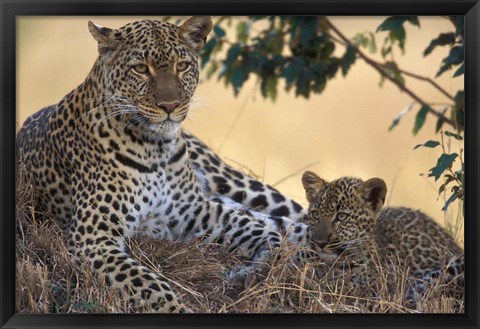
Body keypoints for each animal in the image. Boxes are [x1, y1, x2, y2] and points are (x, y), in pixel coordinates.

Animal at [15, 16, 312, 312]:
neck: (156, 149)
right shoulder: (93, 238)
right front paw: (178, 308)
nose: (170, 106)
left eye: (182, 66)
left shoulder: (196, 210)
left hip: (236, 184)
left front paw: (264, 261)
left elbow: (256, 230)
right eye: (140, 69)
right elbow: (147, 283)